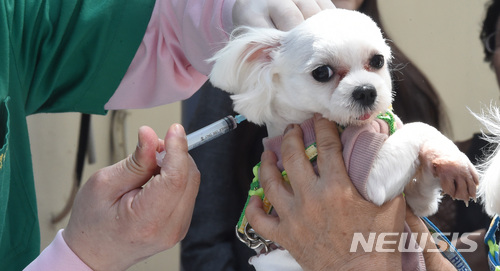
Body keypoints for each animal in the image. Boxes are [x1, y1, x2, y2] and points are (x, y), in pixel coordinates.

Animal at [207, 9, 476, 271]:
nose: (366, 91)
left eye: (377, 61)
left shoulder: (417, 202)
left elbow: (424, 186)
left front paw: (451, 163)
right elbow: (418, 127)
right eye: (321, 72)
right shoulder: (371, 179)